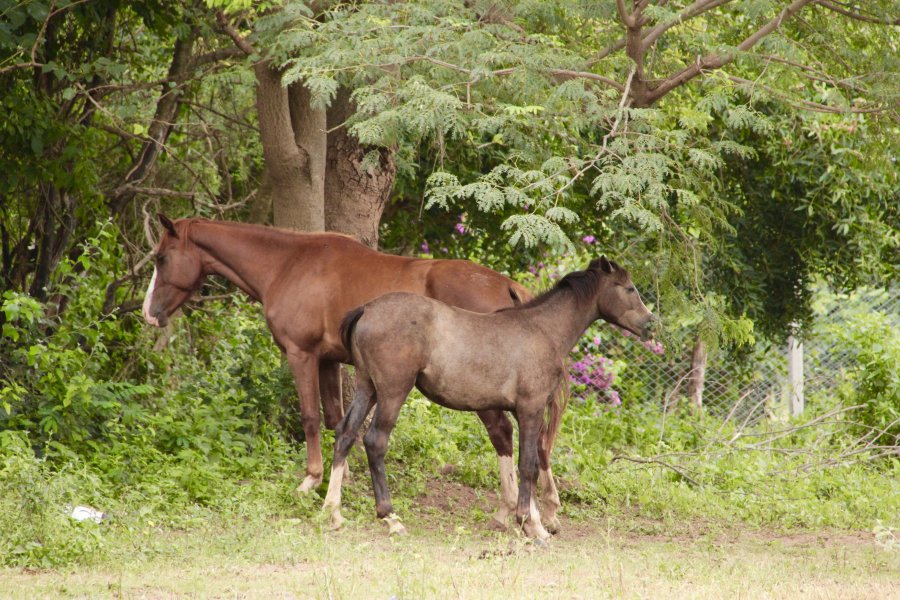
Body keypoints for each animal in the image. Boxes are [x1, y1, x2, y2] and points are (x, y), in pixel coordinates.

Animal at [141, 214, 566, 530]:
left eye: (161, 258)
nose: (149, 314)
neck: (288, 264)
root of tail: (507, 285)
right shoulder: (329, 361)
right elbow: (336, 421)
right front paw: (338, 483)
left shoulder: (302, 355)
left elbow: (311, 417)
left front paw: (311, 481)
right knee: (524, 439)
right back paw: (539, 508)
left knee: (504, 434)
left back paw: (520, 510)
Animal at [324, 257, 656, 541]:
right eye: (629, 288)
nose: (650, 324)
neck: (541, 330)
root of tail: (366, 310)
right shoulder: (531, 408)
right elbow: (528, 464)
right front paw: (532, 526)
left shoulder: (525, 412)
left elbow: (528, 460)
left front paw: (527, 520)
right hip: (393, 391)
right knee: (375, 441)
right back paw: (391, 518)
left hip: (367, 388)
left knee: (345, 433)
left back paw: (334, 513)